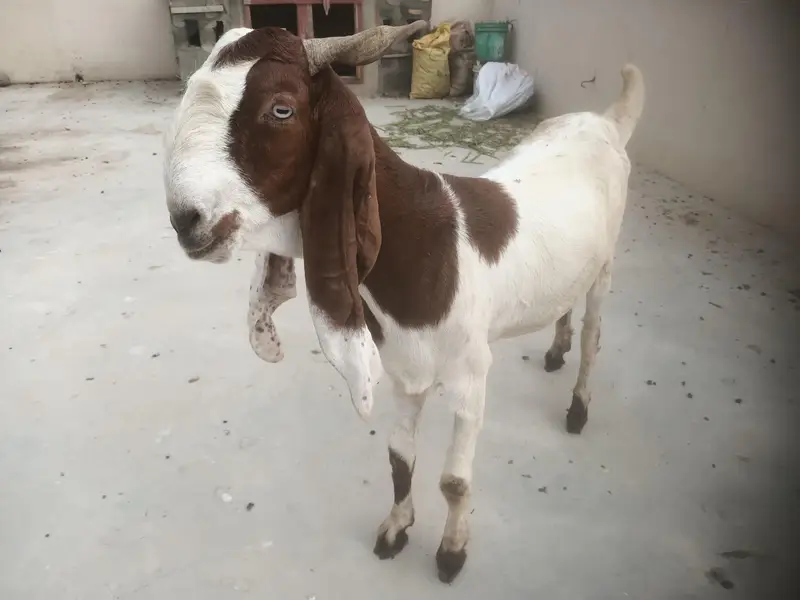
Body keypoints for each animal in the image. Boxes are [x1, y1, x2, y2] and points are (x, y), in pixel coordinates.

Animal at [163, 22, 645, 583]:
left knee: (593, 338)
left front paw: (452, 553)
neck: (425, 242)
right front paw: (395, 530)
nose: (186, 221)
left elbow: (454, 481)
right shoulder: (404, 371)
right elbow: (398, 460)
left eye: (281, 109)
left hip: (605, 267)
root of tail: (603, 122)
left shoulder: (470, 376)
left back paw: (579, 406)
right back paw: (555, 349)